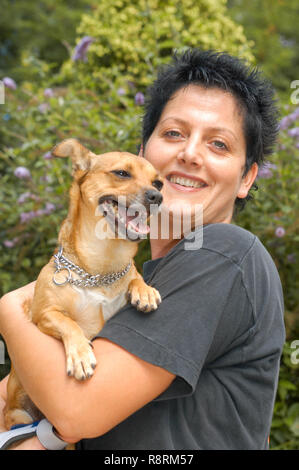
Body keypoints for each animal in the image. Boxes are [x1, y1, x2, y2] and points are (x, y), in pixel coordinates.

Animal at [4, 138, 164, 428]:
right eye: (121, 173)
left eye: (158, 183)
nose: (158, 197)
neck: (101, 267)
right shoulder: (42, 314)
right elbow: (69, 322)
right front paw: (80, 355)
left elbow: (135, 275)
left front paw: (144, 291)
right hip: (20, 413)